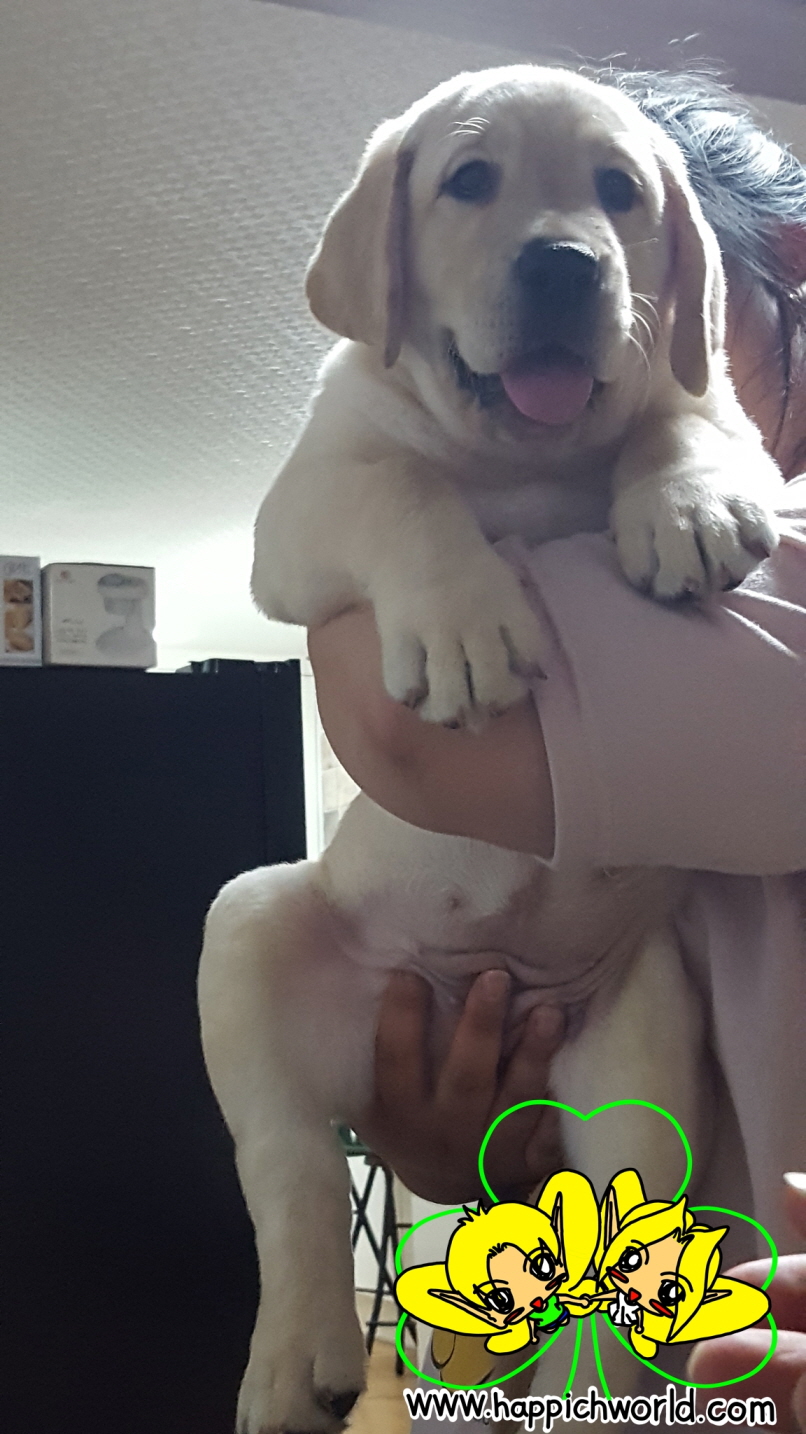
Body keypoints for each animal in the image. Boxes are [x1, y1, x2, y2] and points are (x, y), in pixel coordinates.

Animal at [198, 66, 783, 1434]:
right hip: (250, 927)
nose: (567, 264)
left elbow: (687, 419)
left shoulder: (704, 409)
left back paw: (588, 1389)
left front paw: (683, 508)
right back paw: (296, 1358)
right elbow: (400, 489)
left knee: (620, 1259)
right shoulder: (300, 509)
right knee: (291, 1170)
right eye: (468, 181)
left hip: (640, 1058)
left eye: (620, 192)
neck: (525, 457)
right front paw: (465, 623)